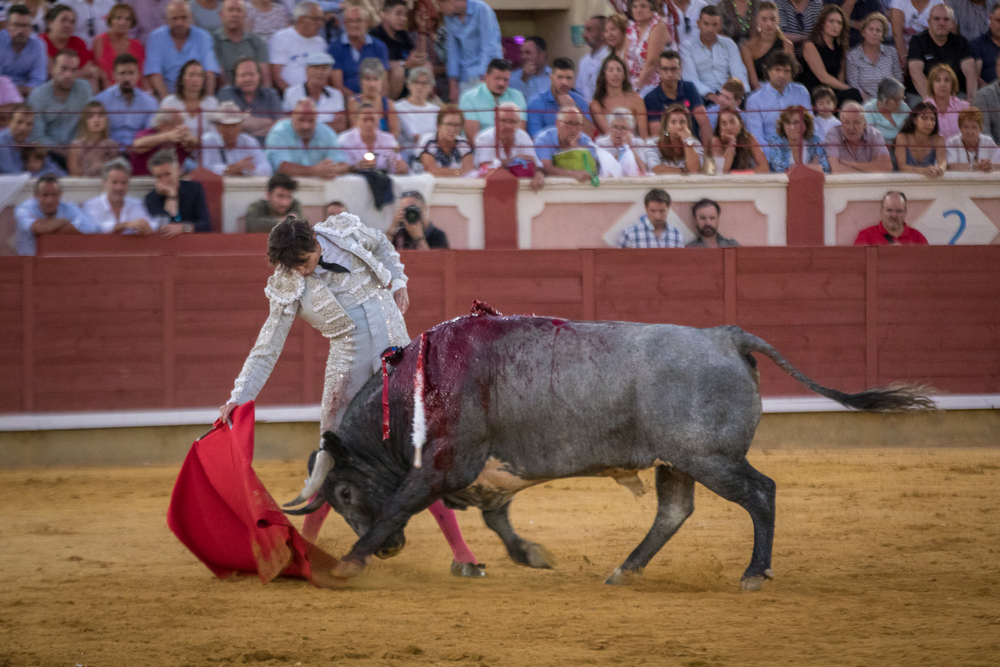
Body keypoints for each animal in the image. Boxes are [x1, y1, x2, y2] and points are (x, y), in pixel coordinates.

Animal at [286, 306, 932, 592]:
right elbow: (499, 519)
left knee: (761, 493)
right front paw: (530, 555)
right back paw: (625, 568)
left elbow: (399, 504)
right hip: (678, 462)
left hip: (710, 458)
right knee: (675, 511)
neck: (415, 391)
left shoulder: (441, 465)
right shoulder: (490, 474)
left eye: (344, 491)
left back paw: (754, 572)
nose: (392, 551)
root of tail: (725, 336)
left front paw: (348, 562)